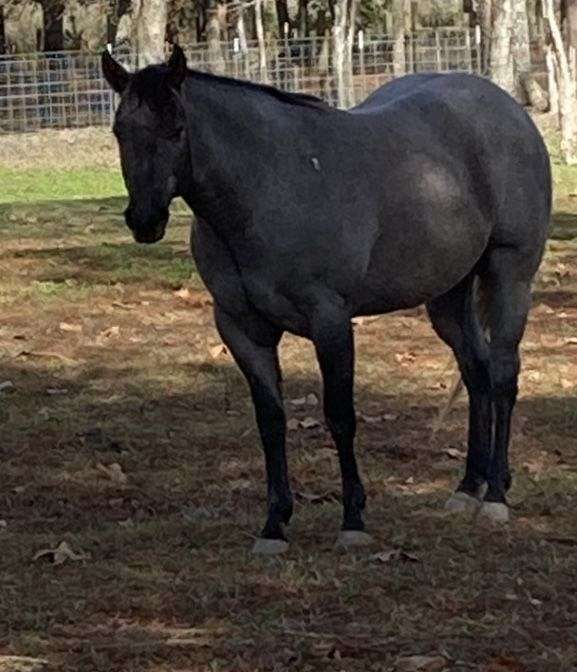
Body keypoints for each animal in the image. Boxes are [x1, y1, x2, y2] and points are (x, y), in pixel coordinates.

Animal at [101, 44, 552, 552]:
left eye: (177, 128)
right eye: (121, 130)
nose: (145, 220)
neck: (267, 186)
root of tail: (507, 109)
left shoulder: (330, 321)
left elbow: (340, 416)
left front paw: (353, 521)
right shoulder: (242, 329)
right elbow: (270, 421)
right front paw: (274, 525)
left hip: (510, 276)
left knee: (502, 375)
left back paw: (495, 496)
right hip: (448, 298)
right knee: (476, 374)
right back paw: (467, 487)